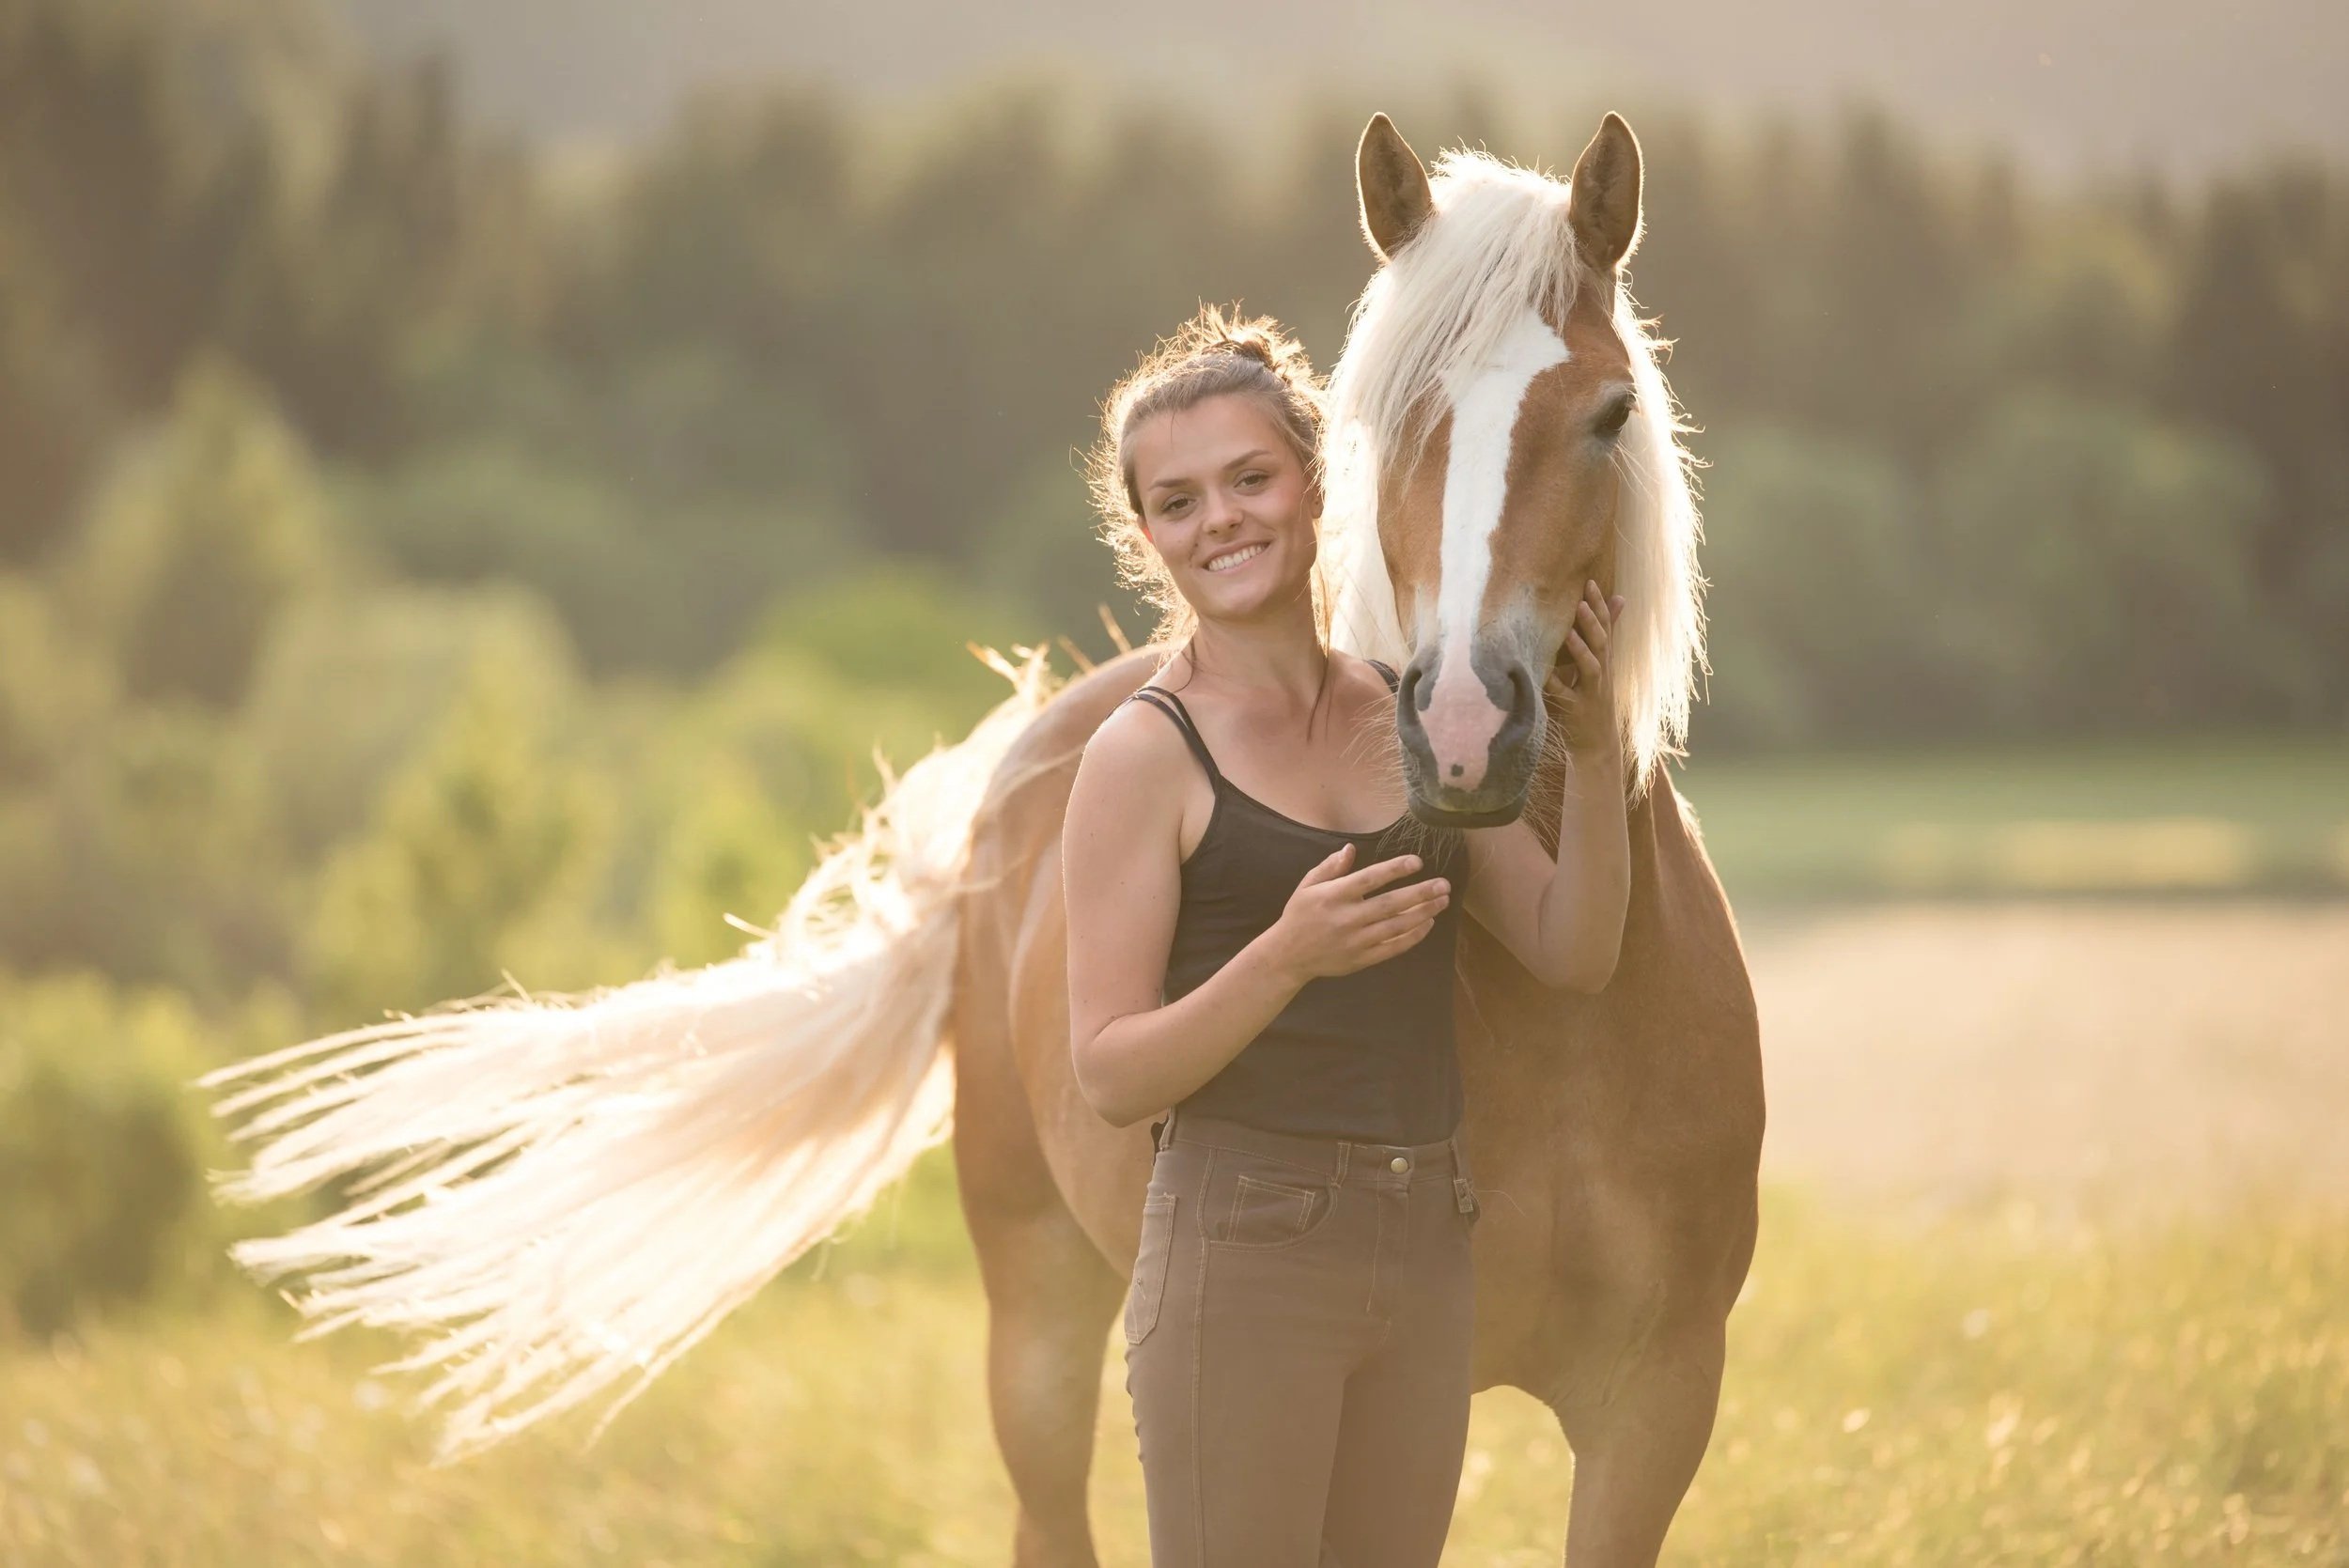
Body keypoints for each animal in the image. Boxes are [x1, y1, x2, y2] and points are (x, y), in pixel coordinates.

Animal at [199, 111, 1761, 1567]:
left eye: (1609, 412)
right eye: (1384, 418)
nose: (1458, 731)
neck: (1565, 1021)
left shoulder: (1654, 1406)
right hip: (1044, 1319)